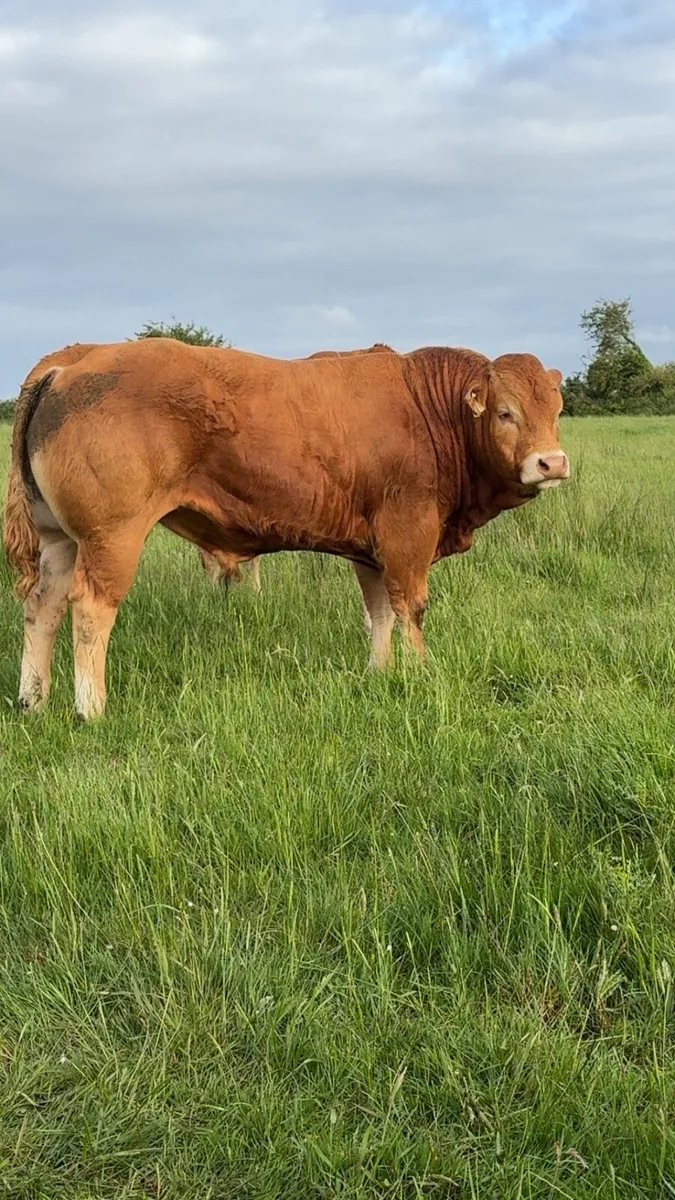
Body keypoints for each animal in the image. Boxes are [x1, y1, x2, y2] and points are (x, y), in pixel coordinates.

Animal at [4, 339, 569, 719]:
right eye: (505, 412)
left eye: (557, 409)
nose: (553, 462)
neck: (427, 409)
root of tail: (75, 358)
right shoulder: (408, 532)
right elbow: (411, 608)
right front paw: (420, 674)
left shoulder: (371, 548)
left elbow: (379, 613)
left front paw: (380, 672)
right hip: (111, 537)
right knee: (90, 609)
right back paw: (90, 708)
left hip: (60, 539)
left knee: (43, 606)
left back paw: (33, 699)